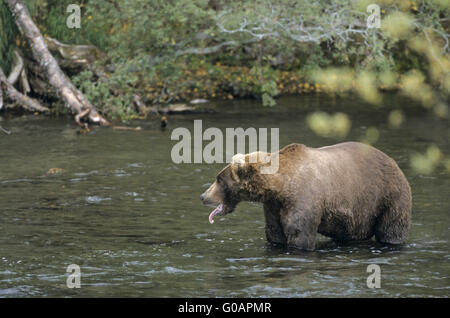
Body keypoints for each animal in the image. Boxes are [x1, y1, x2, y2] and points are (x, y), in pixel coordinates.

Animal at [200, 142, 412, 251]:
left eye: (219, 179)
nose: (203, 196)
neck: (280, 185)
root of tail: (393, 161)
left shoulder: (303, 198)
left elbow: (299, 233)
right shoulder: (273, 205)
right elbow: (275, 233)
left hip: (388, 196)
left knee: (391, 228)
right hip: (360, 211)